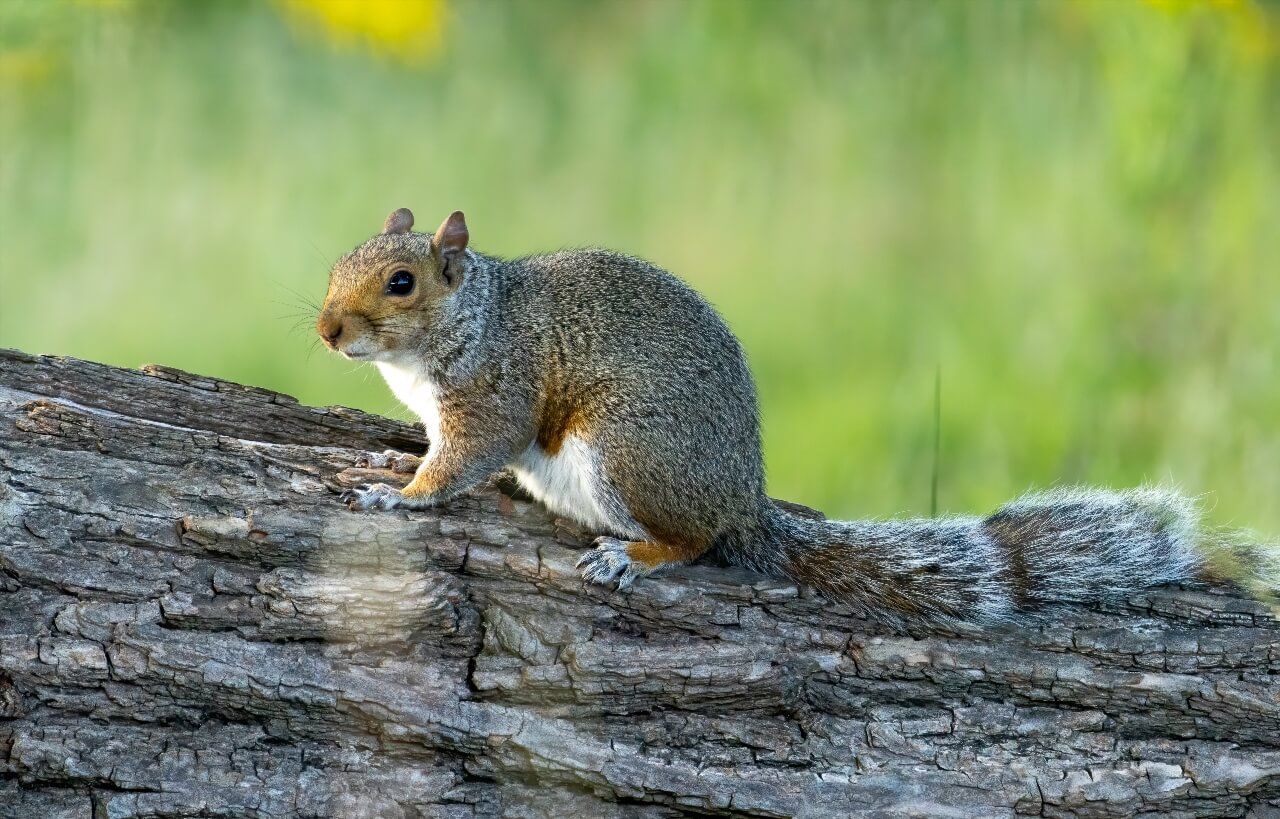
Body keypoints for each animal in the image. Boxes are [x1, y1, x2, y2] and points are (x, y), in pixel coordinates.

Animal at [314, 207, 1250, 623]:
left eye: (400, 282)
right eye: (339, 260)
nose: (326, 330)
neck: (473, 318)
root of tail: (745, 503)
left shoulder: (494, 393)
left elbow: (464, 457)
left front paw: (401, 493)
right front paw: (386, 462)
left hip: (627, 453)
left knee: (694, 542)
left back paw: (636, 555)